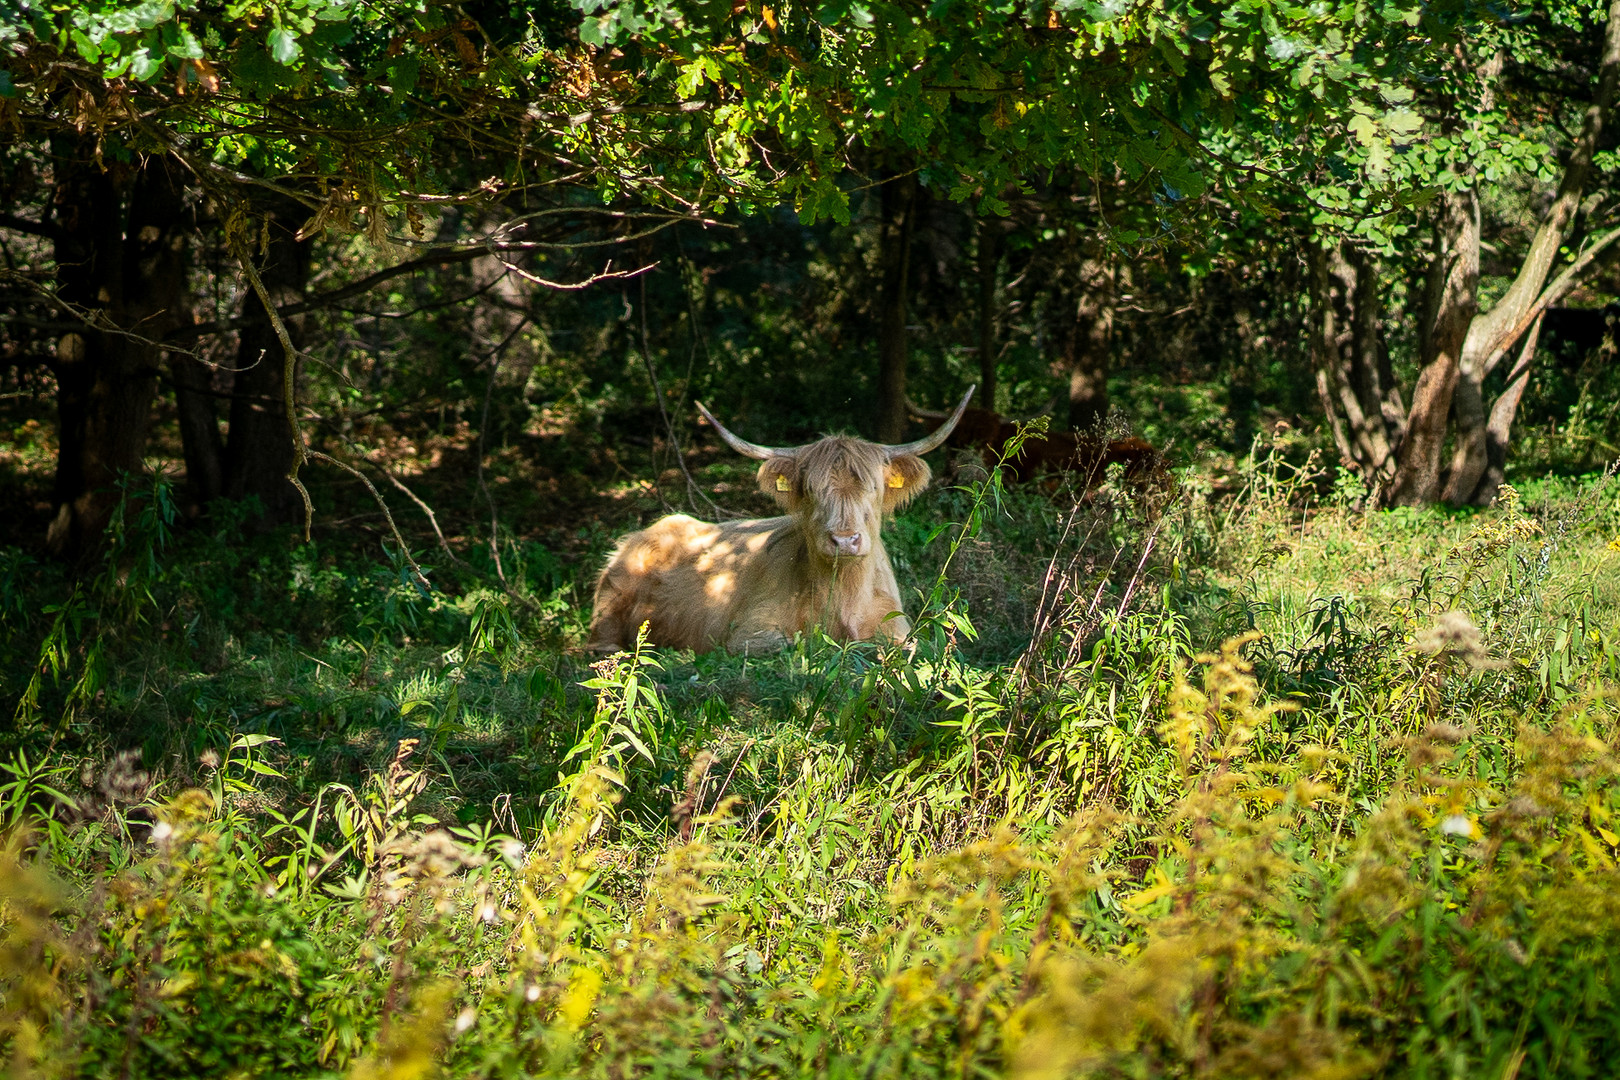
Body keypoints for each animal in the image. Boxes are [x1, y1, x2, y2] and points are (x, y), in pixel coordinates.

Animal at [592, 390, 978, 660]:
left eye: (873, 488)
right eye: (811, 490)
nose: (844, 540)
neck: (844, 599)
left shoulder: (899, 629)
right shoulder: (747, 633)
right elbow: (795, 644)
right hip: (610, 605)